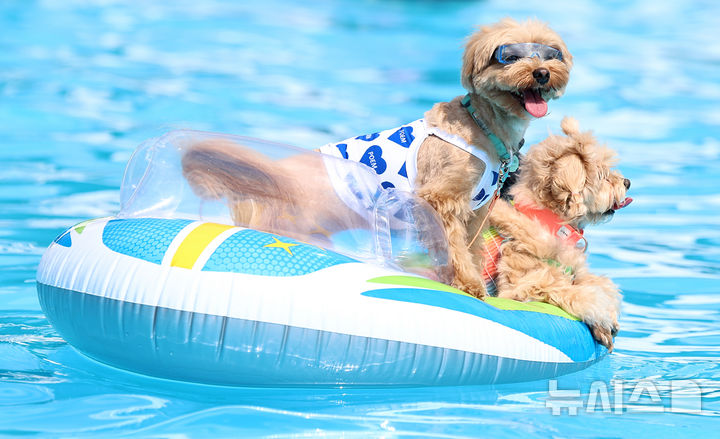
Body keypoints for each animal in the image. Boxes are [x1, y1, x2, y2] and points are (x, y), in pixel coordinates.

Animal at [181, 18, 572, 298]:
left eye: (551, 54)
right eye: (510, 56)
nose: (541, 73)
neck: (484, 125)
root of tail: (275, 176)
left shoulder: (476, 211)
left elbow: (472, 247)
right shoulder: (441, 199)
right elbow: (454, 247)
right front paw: (468, 284)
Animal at [484, 117, 632, 350]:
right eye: (602, 175)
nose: (627, 182)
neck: (553, 223)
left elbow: (596, 283)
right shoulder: (519, 288)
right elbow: (579, 294)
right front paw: (603, 318)